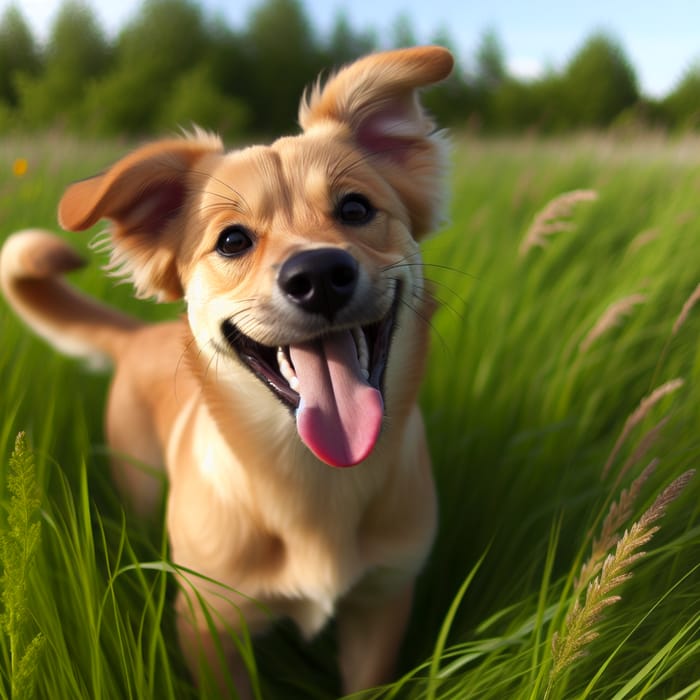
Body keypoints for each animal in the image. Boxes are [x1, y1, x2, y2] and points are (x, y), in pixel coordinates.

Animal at [1, 46, 454, 696]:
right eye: (233, 241)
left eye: (355, 208)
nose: (319, 274)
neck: (315, 481)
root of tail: (139, 336)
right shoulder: (210, 626)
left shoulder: (381, 601)